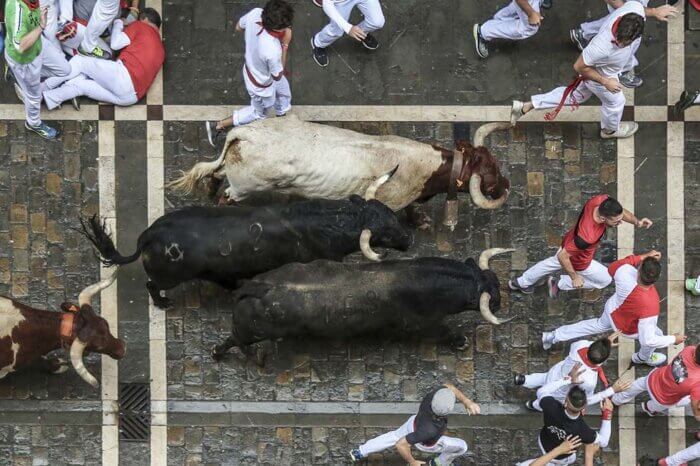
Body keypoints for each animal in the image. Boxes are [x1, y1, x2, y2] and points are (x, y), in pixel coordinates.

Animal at [79, 195, 412, 308]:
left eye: (391, 214)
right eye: (385, 232)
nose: (408, 239)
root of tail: (150, 235)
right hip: (168, 277)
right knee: (152, 285)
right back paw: (163, 303)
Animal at [167, 116, 512, 229]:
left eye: (495, 163)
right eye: (489, 174)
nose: (507, 184)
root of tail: (244, 134)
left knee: (215, 175)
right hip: (243, 188)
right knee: (226, 197)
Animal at [213, 248, 516, 360]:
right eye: (492, 296)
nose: (501, 301)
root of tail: (258, 286)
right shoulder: (424, 324)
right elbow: (445, 332)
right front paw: (460, 341)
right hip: (252, 332)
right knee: (234, 340)